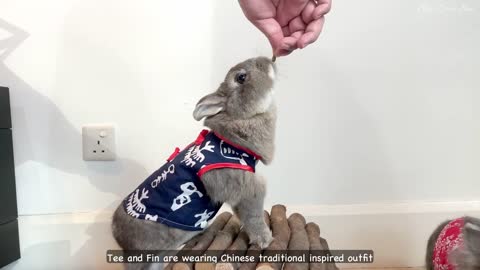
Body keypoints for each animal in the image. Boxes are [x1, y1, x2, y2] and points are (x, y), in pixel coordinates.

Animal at [112, 56, 276, 268]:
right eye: (241, 78)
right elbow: (253, 216)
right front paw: (265, 240)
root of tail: (118, 237)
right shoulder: (246, 190)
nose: (268, 60)